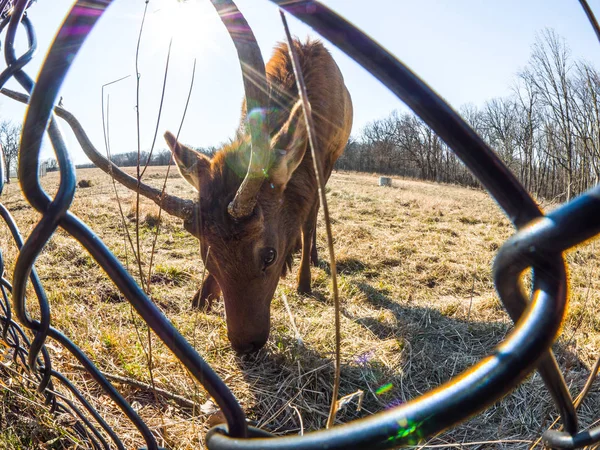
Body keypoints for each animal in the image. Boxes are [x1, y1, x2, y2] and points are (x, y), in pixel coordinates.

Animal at [3, 0, 352, 354]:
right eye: (207, 257)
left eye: (270, 255)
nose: (246, 343)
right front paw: (201, 296)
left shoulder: (324, 162)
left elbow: (309, 216)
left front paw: (304, 282)